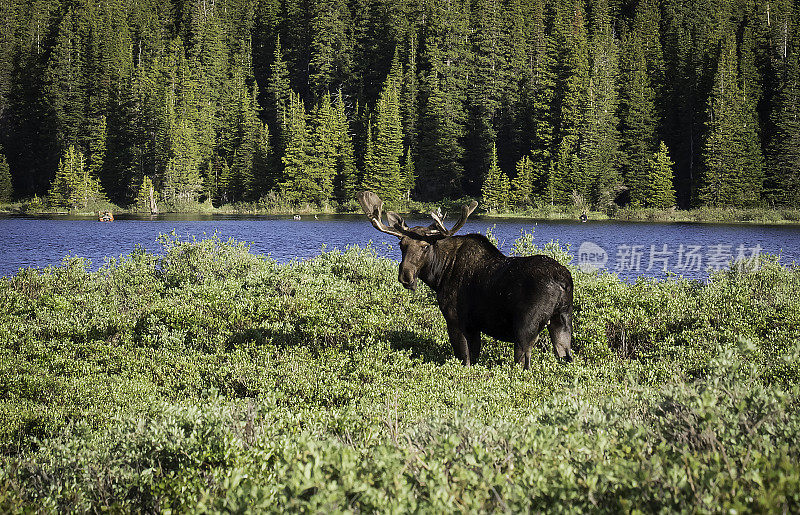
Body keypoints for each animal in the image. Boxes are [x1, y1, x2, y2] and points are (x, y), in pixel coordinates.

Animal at [358, 191, 576, 368]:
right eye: (401, 244)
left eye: (425, 246)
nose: (406, 275)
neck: (439, 275)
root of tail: (563, 282)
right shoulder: (474, 326)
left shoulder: (456, 320)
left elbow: (465, 359)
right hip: (563, 320)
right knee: (566, 356)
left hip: (525, 327)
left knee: (525, 363)